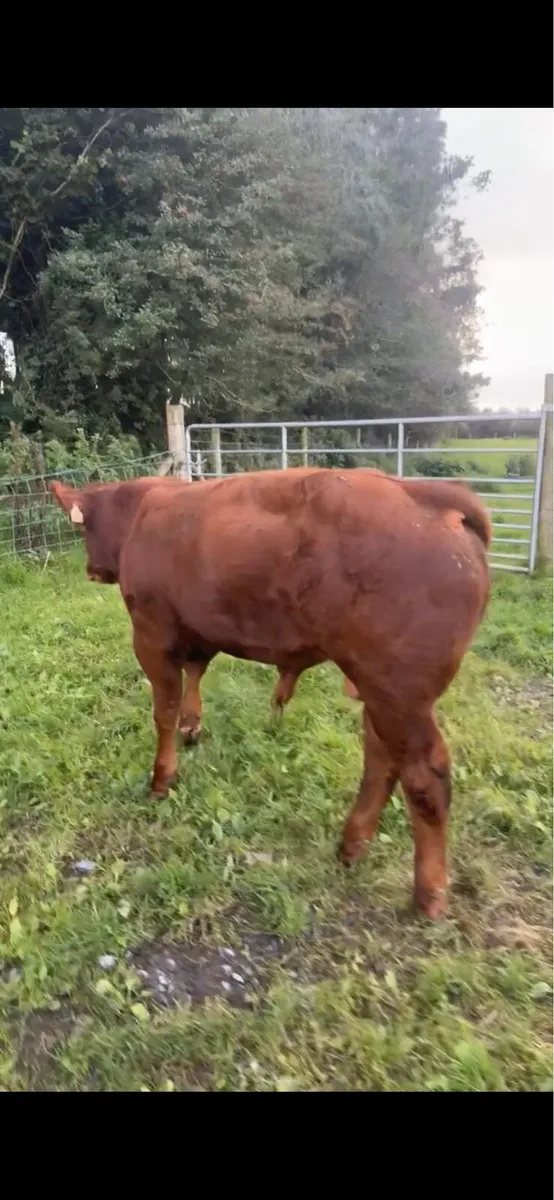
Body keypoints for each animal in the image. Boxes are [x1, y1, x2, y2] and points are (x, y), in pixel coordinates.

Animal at [51, 467, 491, 919]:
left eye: (83, 528)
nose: (92, 570)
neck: (143, 509)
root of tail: (426, 493)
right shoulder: (199, 628)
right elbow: (195, 674)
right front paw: (193, 728)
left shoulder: (152, 635)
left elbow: (164, 711)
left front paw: (162, 777)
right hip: (380, 689)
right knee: (381, 759)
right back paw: (352, 845)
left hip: (399, 693)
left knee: (423, 778)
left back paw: (429, 893)